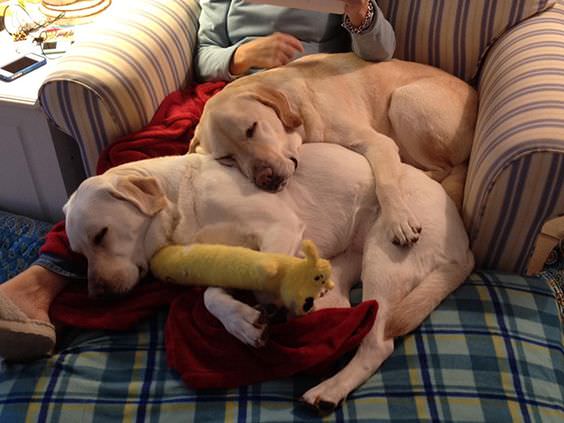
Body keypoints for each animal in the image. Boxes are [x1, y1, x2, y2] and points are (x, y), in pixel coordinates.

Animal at [64, 145, 474, 414]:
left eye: (101, 235)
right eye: (79, 253)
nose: (98, 296)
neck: (183, 203)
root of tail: (466, 244)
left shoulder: (279, 228)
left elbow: (266, 272)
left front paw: (263, 309)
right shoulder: (225, 262)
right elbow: (211, 296)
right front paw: (243, 323)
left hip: (383, 259)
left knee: (377, 341)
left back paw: (329, 387)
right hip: (345, 264)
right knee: (343, 311)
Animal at [189, 52, 476, 248]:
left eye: (251, 128)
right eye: (227, 158)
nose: (264, 179)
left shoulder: (378, 143)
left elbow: (386, 183)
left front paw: (398, 219)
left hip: (404, 99)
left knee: (444, 168)